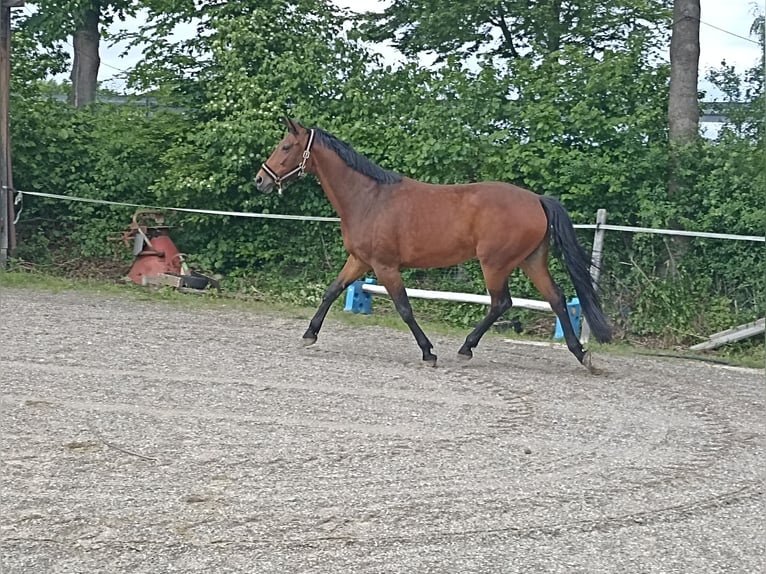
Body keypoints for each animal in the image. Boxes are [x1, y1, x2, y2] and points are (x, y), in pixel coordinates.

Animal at [255, 118, 616, 372]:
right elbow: (331, 292)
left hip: (495, 264)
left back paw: (466, 348)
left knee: (502, 302)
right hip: (530, 261)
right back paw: (581, 354)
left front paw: (428, 352)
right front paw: (309, 334)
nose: (261, 179)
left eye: (286, 146)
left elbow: (404, 307)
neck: (369, 198)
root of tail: (537, 200)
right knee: (556, 298)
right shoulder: (359, 260)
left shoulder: (385, 266)